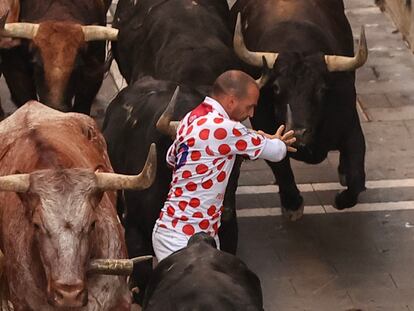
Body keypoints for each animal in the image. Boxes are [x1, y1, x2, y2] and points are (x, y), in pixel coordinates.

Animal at [230, 0, 368, 219]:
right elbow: (281, 168)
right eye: (276, 87)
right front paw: (292, 204)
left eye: (321, 88)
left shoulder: (351, 128)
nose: (298, 132)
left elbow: (356, 177)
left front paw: (341, 198)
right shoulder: (264, 130)